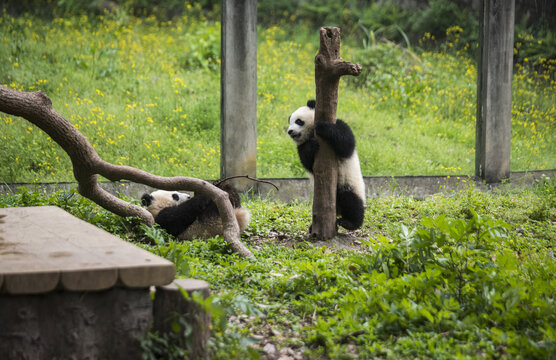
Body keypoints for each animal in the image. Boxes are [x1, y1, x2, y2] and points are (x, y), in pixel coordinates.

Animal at [286, 100, 364, 229]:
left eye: (298, 121)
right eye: (289, 122)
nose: (290, 131)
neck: (311, 134)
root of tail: (337, 211)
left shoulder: (339, 125)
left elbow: (346, 142)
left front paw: (323, 127)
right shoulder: (301, 146)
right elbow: (306, 160)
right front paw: (311, 146)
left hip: (350, 183)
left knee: (351, 200)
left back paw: (350, 222)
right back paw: (313, 227)